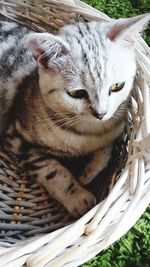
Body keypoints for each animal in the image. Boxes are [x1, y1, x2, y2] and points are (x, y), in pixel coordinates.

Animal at [0, 13, 149, 218]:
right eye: (77, 93)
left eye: (117, 86)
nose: (101, 113)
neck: (89, 133)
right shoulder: (16, 137)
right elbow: (51, 170)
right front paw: (78, 197)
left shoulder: (113, 130)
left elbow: (107, 150)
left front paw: (88, 173)